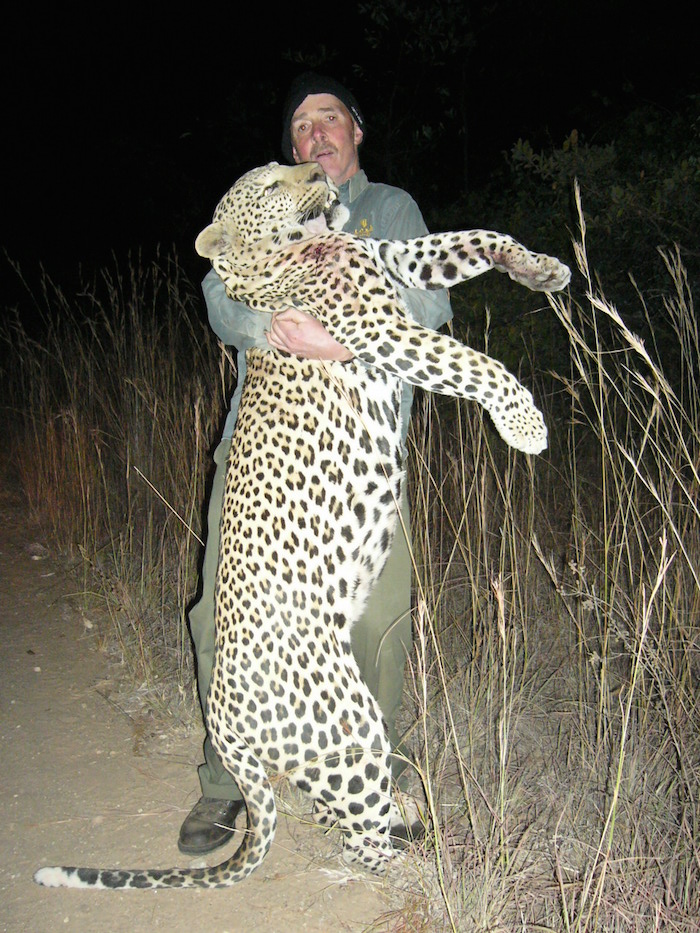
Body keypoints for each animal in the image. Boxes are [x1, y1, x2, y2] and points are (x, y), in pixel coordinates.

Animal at [35, 160, 570, 890]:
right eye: (268, 185)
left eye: (288, 168)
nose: (319, 170)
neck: (302, 251)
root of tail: (223, 721)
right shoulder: (381, 332)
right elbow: (471, 361)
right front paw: (525, 424)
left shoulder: (400, 258)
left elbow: (479, 237)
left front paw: (543, 269)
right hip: (349, 723)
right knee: (358, 836)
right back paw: (419, 859)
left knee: (343, 807)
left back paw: (410, 815)